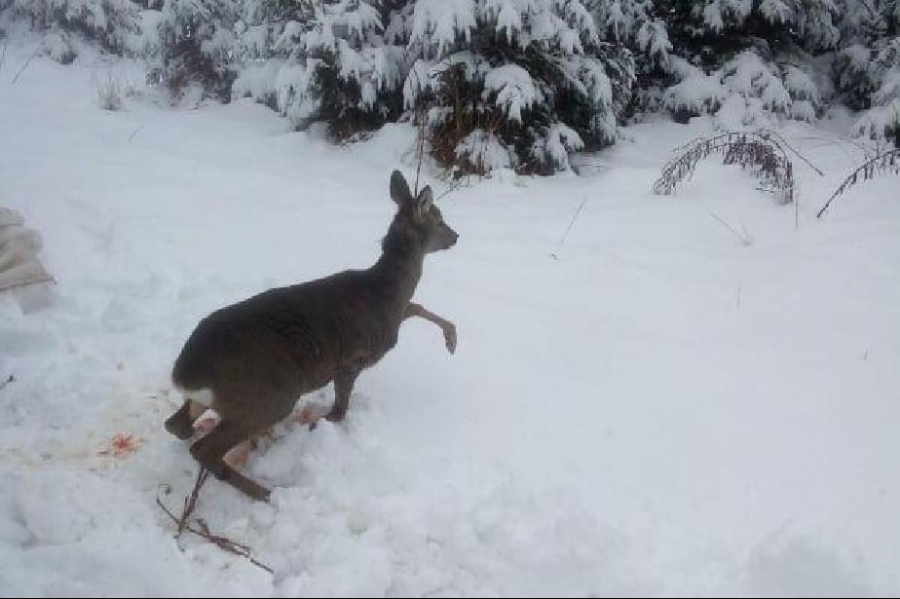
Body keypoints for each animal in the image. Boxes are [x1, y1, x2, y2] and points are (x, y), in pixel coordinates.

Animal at [163, 170, 458, 502]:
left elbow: (416, 306)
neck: (384, 294)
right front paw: (318, 426)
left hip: (226, 401)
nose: (456, 236)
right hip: (271, 393)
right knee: (204, 449)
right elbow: (338, 413)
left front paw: (452, 340)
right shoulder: (351, 360)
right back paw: (267, 493)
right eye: (439, 218)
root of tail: (184, 374)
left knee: (176, 426)